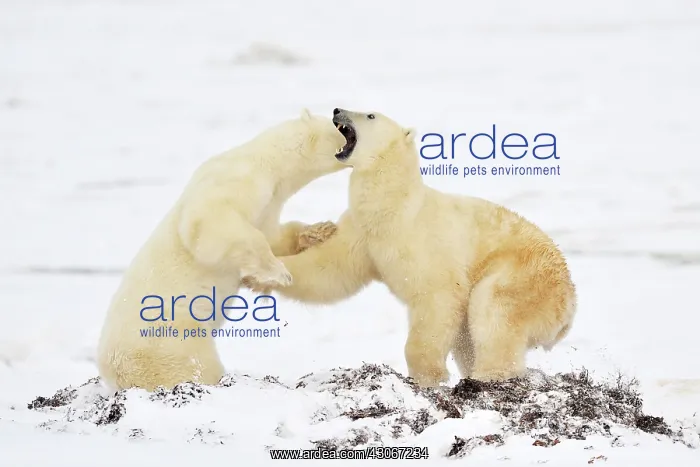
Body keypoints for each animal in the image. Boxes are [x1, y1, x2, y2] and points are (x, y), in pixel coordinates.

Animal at [96, 109, 348, 392]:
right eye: (338, 126)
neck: (267, 163)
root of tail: (110, 372)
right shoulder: (235, 181)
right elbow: (211, 224)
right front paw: (279, 272)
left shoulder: (268, 206)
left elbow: (273, 235)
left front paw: (320, 230)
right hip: (169, 340)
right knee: (195, 365)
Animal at [242, 108, 577, 388]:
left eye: (370, 115)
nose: (337, 109)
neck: (394, 206)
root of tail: (569, 307)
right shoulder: (363, 235)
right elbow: (329, 272)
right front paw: (258, 274)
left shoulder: (425, 242)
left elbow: (438, 296)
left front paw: (428, 375)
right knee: (469, 334)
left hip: (526, 276)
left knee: (493, 309)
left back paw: (486, 376)